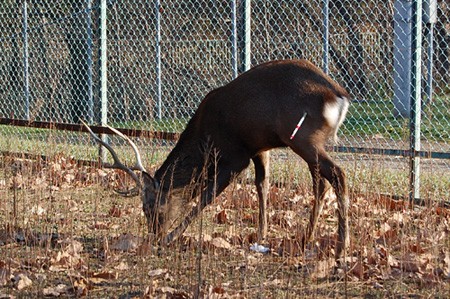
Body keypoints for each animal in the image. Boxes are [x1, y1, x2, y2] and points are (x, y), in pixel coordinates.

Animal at [84, 58, 352, 260]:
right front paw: (261, 235)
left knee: (337, 174)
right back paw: (307, 238)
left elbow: (206, 196)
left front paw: (172, 237)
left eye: (150, 207)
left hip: (302, 137)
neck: (204, 136)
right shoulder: (258, 148)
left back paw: (341, 248)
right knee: (321, 183)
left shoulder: (234, 157)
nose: (155, 236)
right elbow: (262, 186)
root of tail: (339, 96)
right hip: (305, 141)